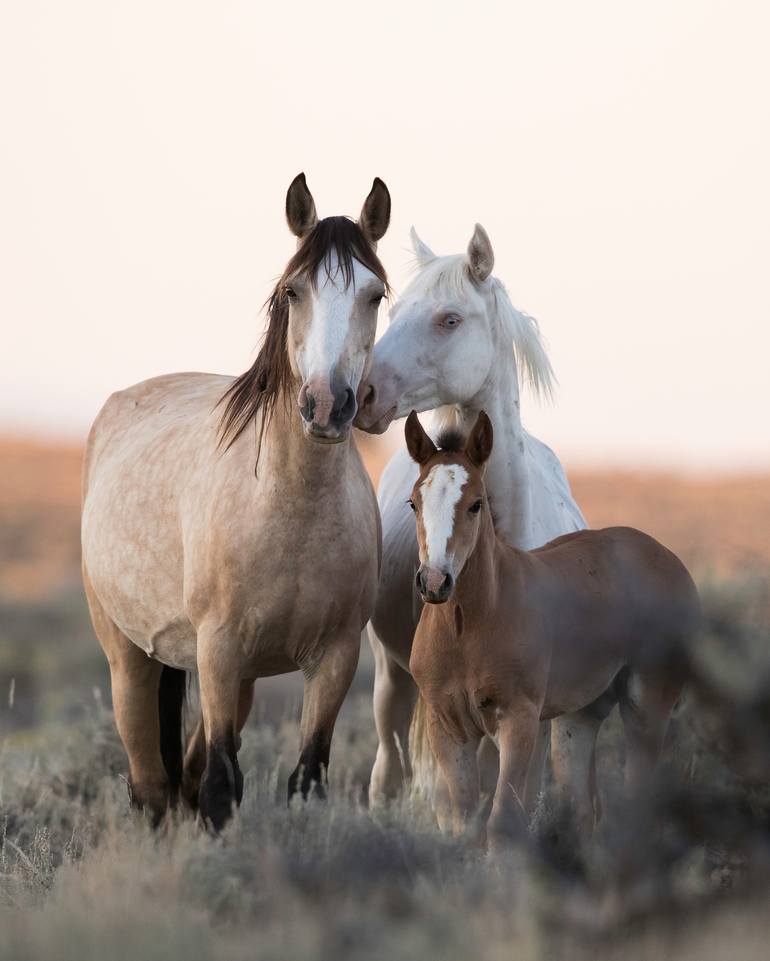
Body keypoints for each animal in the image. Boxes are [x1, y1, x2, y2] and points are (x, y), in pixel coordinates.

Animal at [404, 412, 700, 848]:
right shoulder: (448, 727)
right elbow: (464, 824)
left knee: (636, 800)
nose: (435, 581)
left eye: (476, 504)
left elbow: (502, 821)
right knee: (583, 809)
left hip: (647, 704)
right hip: (578, 718)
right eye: (414, 503)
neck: (467, 628)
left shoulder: (519, 720)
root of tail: (670, 559)